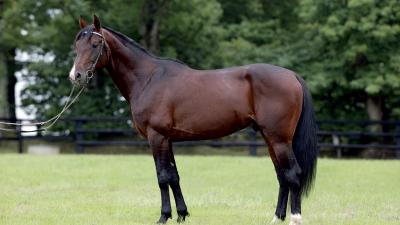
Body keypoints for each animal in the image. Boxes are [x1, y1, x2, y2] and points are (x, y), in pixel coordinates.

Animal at [69, 14, 318, 224]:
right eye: (76, 46)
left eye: (95, 44)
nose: (76, 76)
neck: (148, 78)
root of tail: (292, 75)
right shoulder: (167, 139)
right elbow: (174, 176)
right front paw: (181, 214)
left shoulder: (156, 137)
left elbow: (162, 177)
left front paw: (164, 216)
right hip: (269, 139)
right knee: (282, 176)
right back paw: (276, 218)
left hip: (279, 139)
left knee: (293, 174)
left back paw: (295, 218)